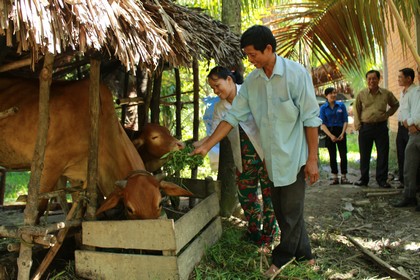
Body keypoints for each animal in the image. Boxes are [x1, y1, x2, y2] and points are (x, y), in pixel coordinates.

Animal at [0, 77, 193, 220]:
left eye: (159, 204)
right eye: (130, 209)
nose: (181, 144)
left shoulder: (76, 176)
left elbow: (77, 209)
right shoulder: (49, 166)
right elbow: (36, 209)